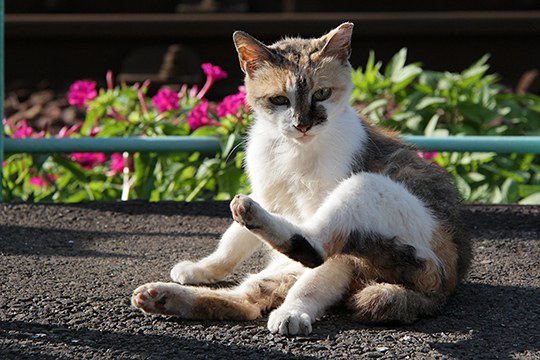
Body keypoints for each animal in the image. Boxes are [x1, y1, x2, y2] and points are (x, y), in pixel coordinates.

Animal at [132, 23, 472, 338]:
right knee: (246, 302)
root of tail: (444, 281)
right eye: (279, 100)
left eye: (322, 93)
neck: (293, 151)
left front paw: (294, 311)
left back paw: (286, 299)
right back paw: (162, 297)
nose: (302, 124)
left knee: (313, 249)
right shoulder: (265, 194)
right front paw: (203, 267)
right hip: (287, 267)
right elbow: (231, 244)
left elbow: (312, 279)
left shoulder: (339, 252)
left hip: (368, 191)